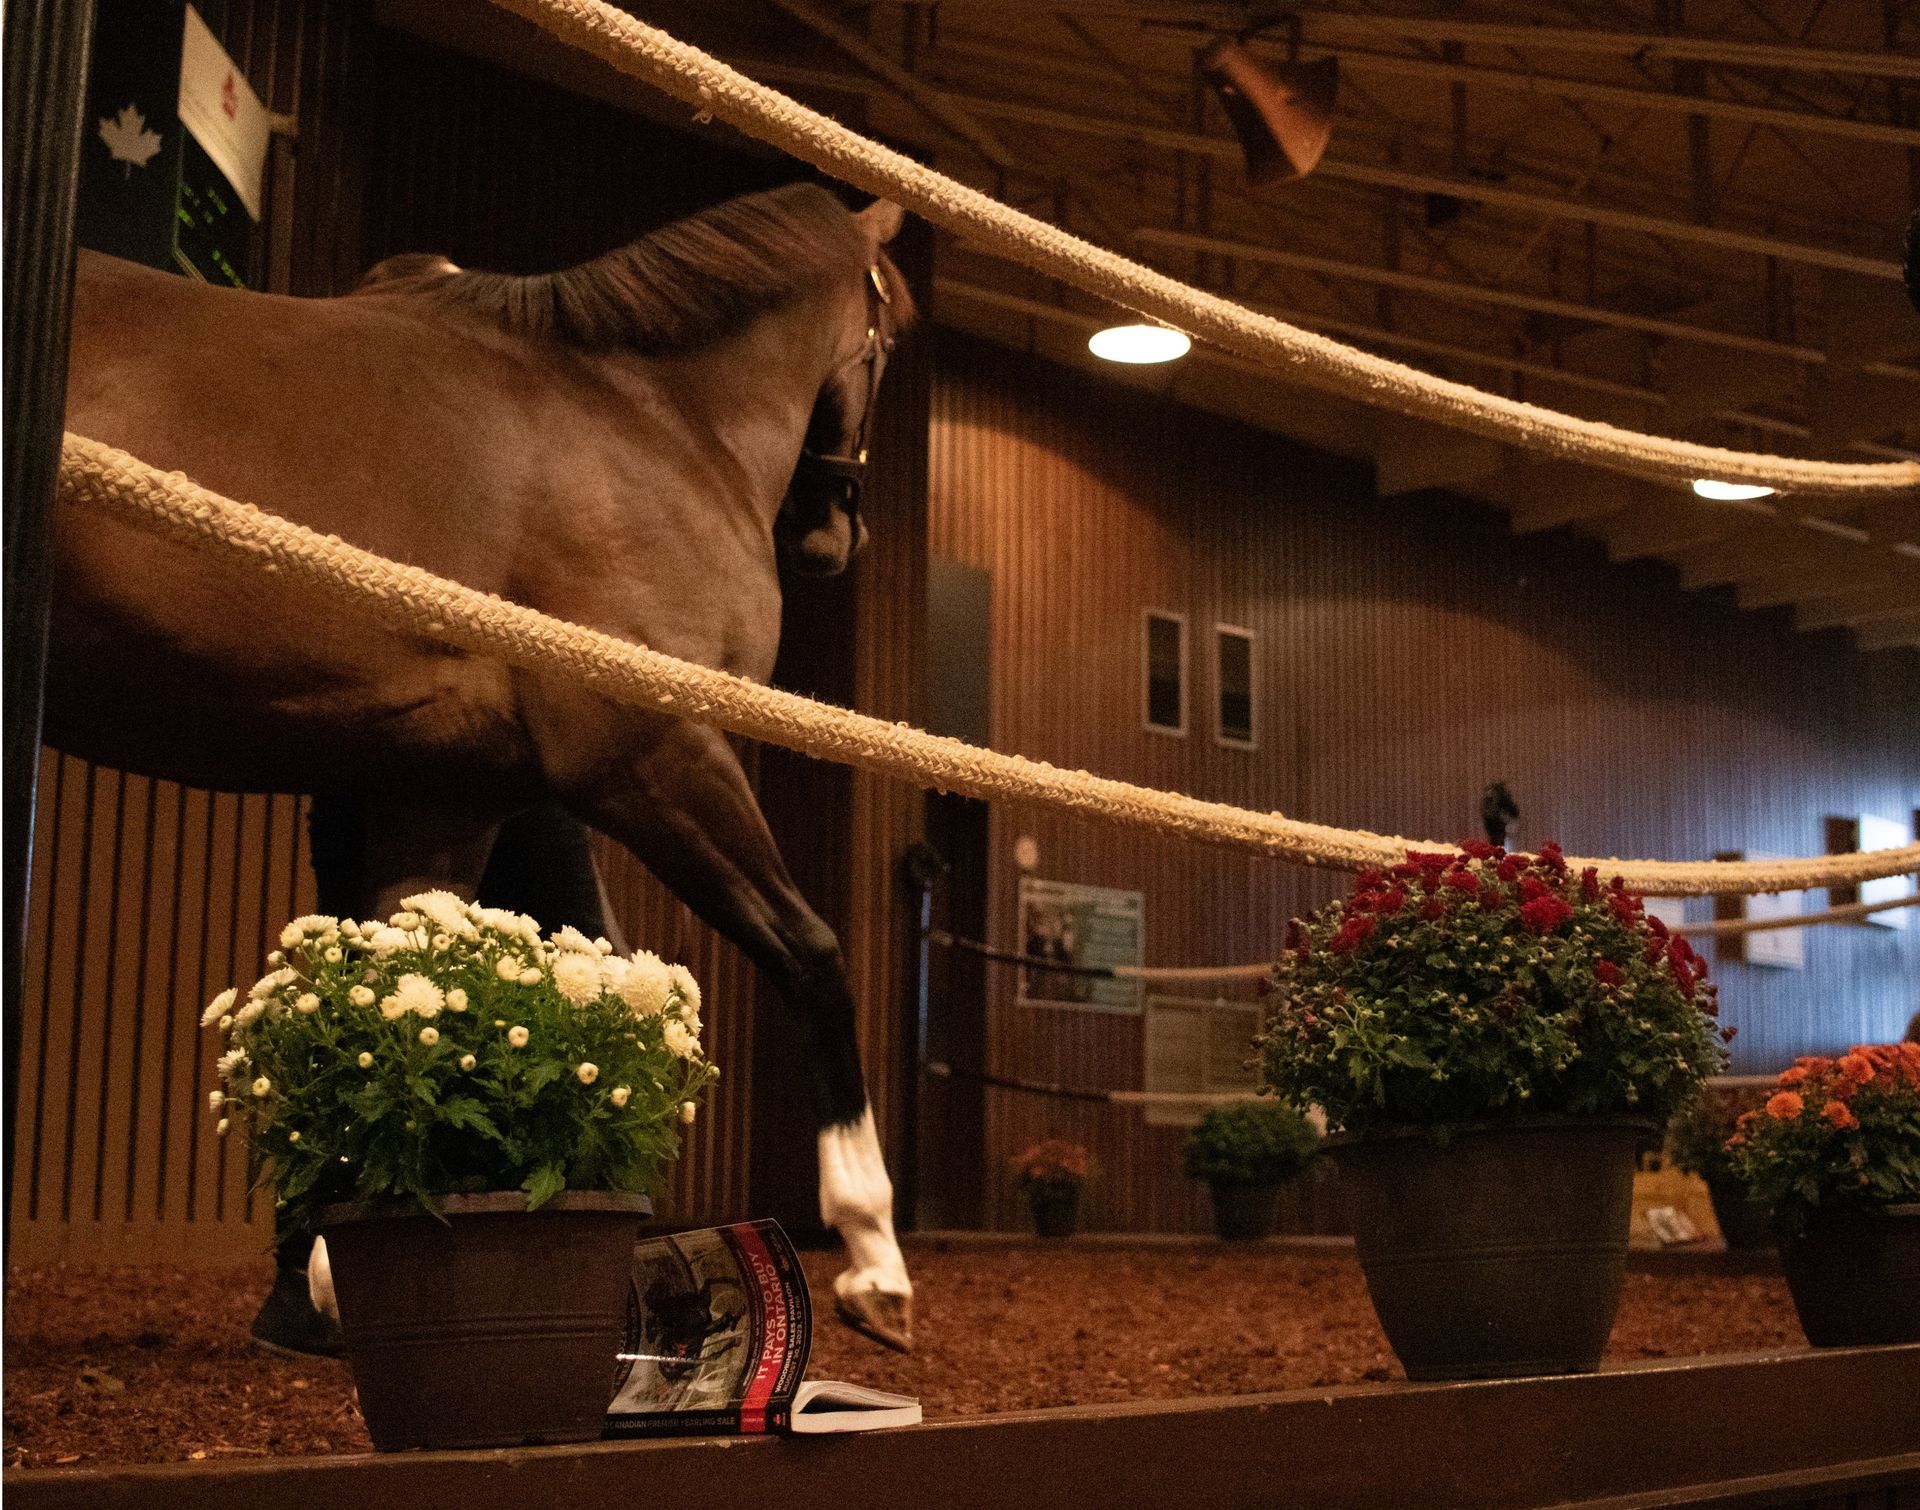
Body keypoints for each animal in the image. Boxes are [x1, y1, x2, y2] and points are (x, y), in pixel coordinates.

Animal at [56, 182, 925, 1344]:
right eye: (890, 336)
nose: (839, 535)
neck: (647, 417)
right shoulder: (654, 754)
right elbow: (813, 954)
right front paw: (875, 1257)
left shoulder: (446, 794)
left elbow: (392, 993)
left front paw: (342, 1268)